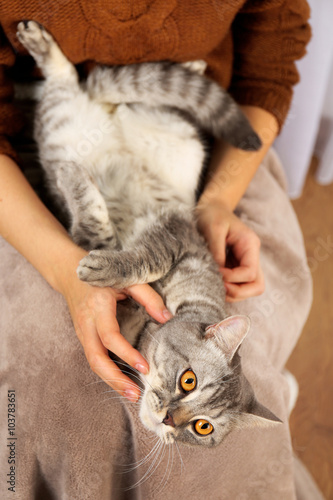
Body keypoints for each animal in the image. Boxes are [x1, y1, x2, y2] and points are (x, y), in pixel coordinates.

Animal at [16, 21, 278, 448]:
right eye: (188, 381)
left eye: (201, 427)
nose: (170, 419)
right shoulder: (173, 231)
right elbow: (135, 253)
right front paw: (104, 265)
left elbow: (98, 232)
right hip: (132, 126)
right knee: (86, 82)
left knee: (74, 82)